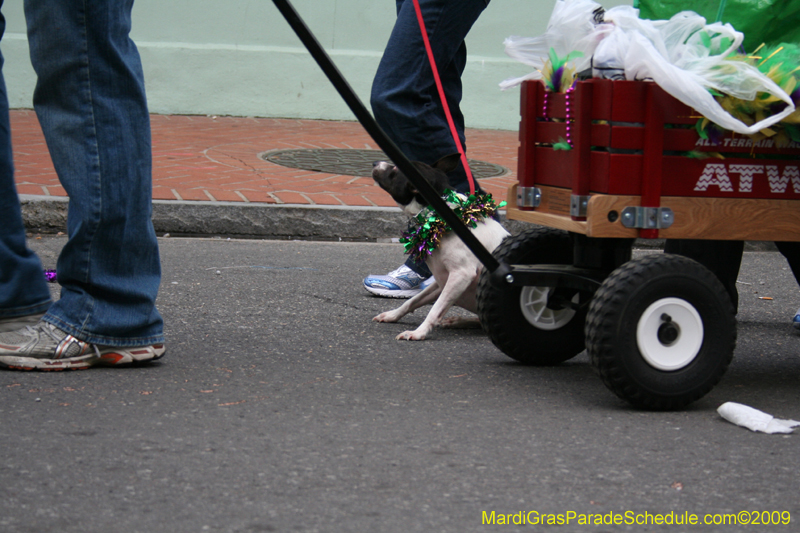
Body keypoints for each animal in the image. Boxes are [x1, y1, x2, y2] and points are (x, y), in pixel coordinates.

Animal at [374, 154, 510, 338]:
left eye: (395, 169)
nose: (375, 163)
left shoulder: (460, 276)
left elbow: (435, 309)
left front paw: (419, 332)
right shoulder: (440, 282)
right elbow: (412, 301)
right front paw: (393, 315)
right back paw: (458, 321)